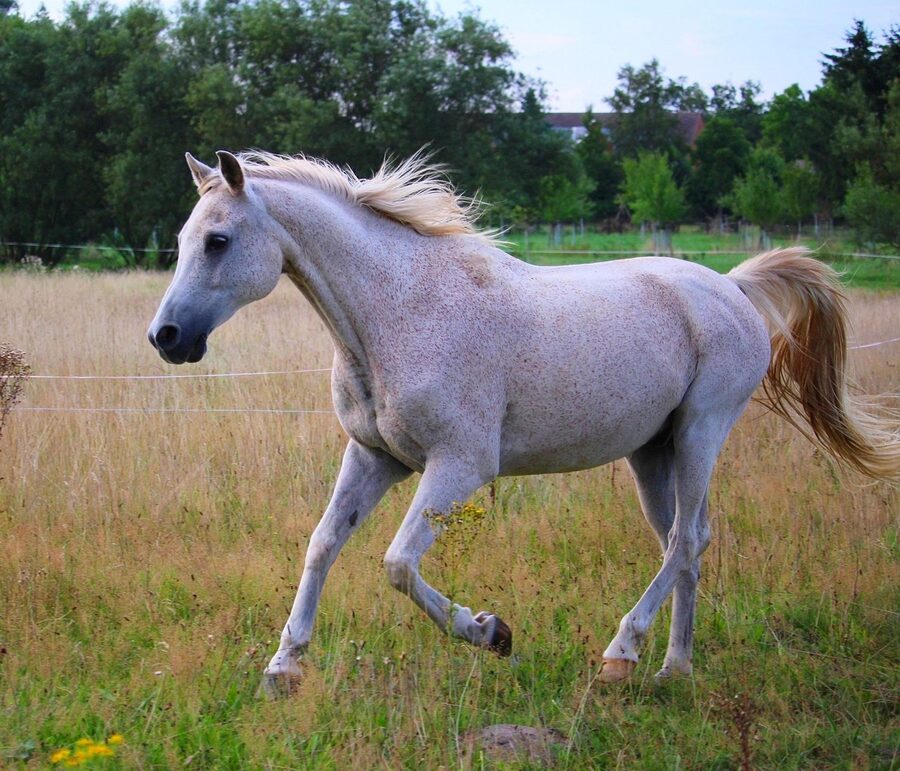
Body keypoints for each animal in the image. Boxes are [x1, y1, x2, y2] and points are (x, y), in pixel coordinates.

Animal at [148, 150, 898, 693]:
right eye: (183, 238)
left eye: (218, 240)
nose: (166, 337)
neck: (397, 310)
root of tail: (733, 287)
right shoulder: (373, 457)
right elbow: (323, 544)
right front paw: (284, 667)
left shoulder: (460, 465)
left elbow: (396, 563)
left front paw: (490, 632)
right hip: (652, 451)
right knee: (683, 543)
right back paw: (671, 669)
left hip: (700, 432)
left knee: (686, 539)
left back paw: (622, 652)